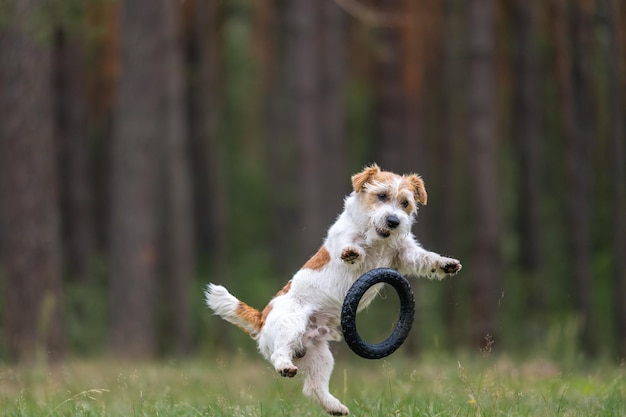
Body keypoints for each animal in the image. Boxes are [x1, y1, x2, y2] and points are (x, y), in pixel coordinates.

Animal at [205, 163, 458, 412]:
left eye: (405, 203)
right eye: (382, 195)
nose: (394, 221)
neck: (377, 239)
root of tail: (262, 316)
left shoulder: (404, 254)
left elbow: (423, 258)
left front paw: (446, 264)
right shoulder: (346, 238)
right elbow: (350, 244)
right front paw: (352, 252)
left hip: (320, 357)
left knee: (313, 388)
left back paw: (335, 407)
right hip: (291, 325)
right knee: (280, 353)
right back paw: (286, 367)